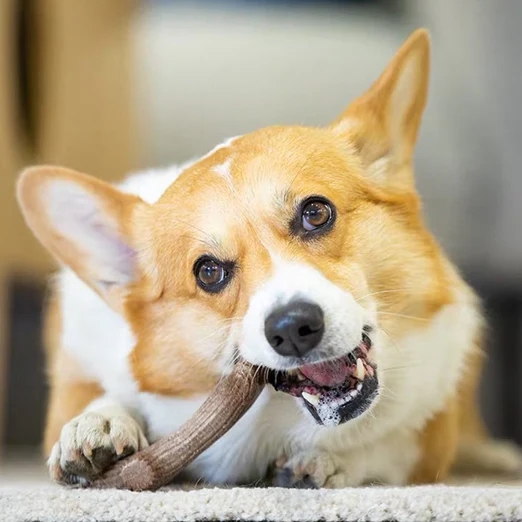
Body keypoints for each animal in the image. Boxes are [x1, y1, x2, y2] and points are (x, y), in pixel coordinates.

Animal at [17, 29, 520, 484]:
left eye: (316, 212)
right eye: (208, 272)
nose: (293, 328)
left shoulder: (428, 430)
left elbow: (387, 444)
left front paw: (328, 460)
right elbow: (105, 396)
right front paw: (98, 423)